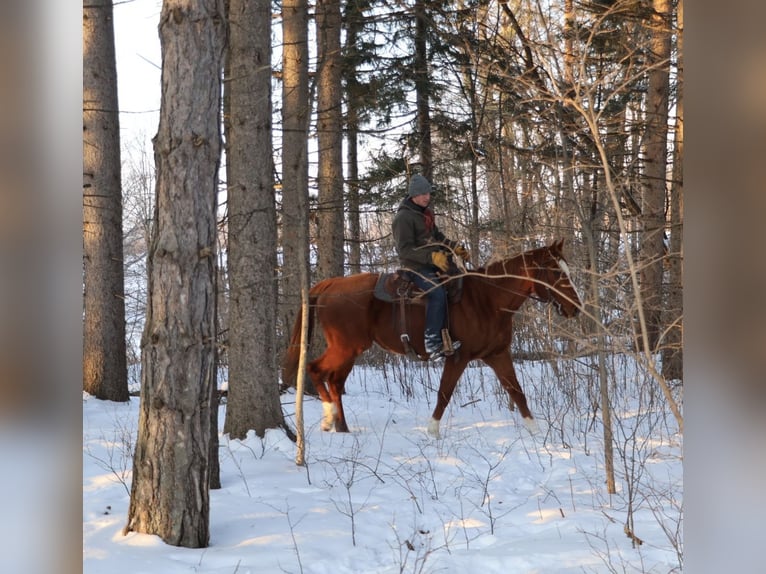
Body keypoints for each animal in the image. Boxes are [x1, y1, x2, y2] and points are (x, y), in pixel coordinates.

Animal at [282, 239, 582, 438]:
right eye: (556, 272)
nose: (576, 308)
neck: (487, 299)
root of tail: (329, 284)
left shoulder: (497, 354)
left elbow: (516, 391)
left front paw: (536, 431)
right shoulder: (458, 357)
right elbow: (444, 393)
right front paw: (432, 430)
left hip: (352, 350)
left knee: (334, 380)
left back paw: (342, 426)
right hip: (345, 347)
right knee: (315, 369)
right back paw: (327, 417)